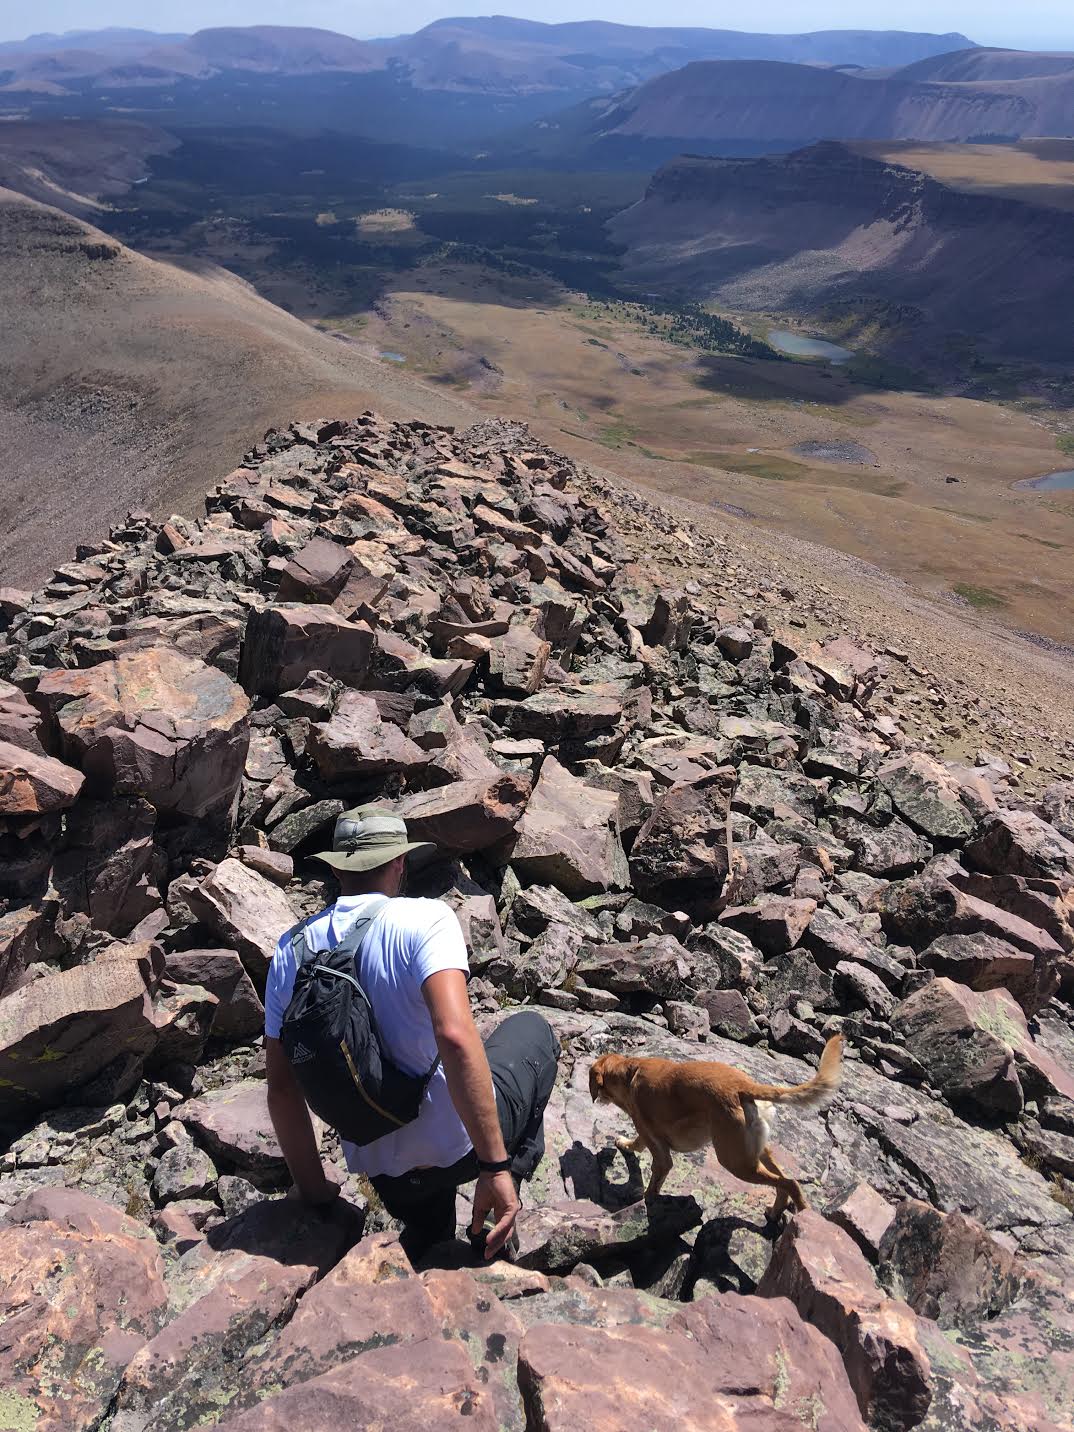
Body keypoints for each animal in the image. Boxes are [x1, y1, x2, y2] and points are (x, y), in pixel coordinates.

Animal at [592, 1031, 847, 1220]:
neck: (630, 1072)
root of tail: (743, 1085)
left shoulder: (657, 1145)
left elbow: (655, 1175)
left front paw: (648, 1198)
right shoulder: (649, 1134)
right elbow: (637, 1144)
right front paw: (625, 1144)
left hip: (735, 1160)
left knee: (789, 1182)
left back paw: (803, 1217)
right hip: (755, 1151)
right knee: (782, 1180)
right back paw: (775, 1212)